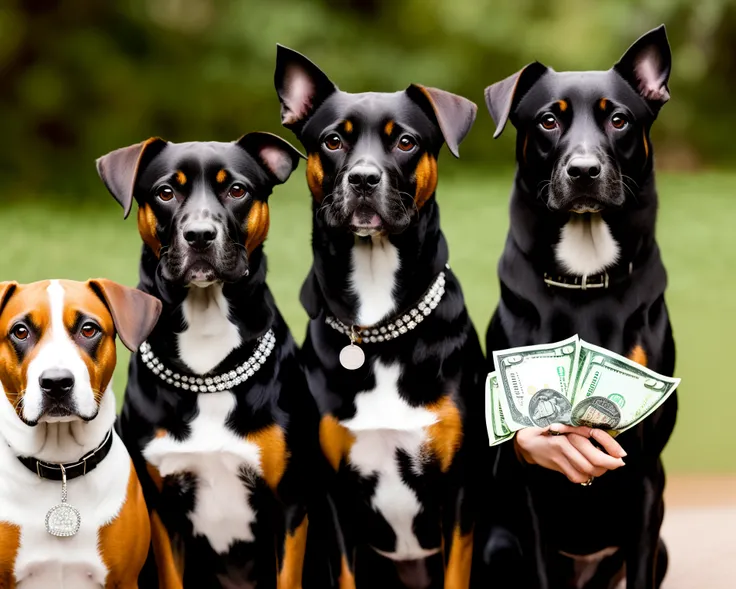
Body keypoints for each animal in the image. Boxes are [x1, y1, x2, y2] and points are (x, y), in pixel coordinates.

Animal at [274, 43, 486, 584]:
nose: (364, 179)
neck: (379, 329)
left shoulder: (459, 492)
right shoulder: (332, 495)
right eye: (332, 140)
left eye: (406, 141)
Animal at [484, 26, 680, 588]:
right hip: (498, 548)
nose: (585, 170)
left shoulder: (645, 476)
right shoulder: (530, 476)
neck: (586, 276)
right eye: (548, 120)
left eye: (619, 119)